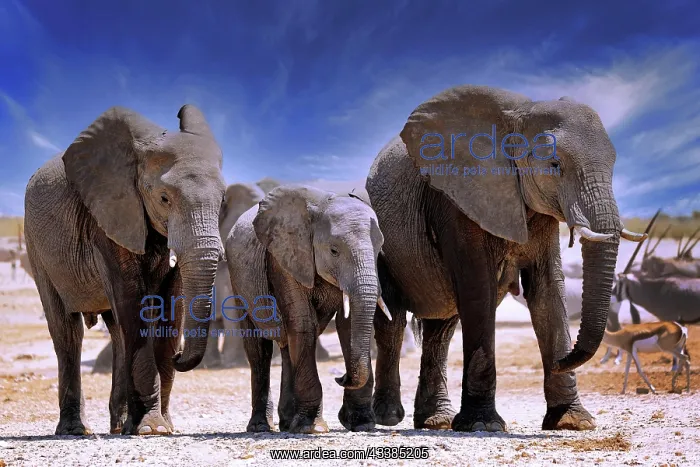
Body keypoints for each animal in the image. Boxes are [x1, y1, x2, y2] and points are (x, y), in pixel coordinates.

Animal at [24, 104, 226, 436]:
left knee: (117, 330)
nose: (181, 356)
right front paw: (152, 429)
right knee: (67, 330)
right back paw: (75, 430)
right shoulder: (109, 214)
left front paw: (163, 426)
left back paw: (119, 427)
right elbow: (133, 302)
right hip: (36, 248)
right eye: (164, 198)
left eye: (223, 202)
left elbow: (172, 304)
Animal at [224, 185, 389, 433]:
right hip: (238, 282)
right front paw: (311, 428)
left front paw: (362, 424)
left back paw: (286, 423)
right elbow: (303, 322)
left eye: (379, 249)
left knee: (287, 346)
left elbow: (348, 324)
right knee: (259, 349)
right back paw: (261, 427)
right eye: (333, 251)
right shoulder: (284, 259)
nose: (341, 377)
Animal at [365, 85, 647, 433]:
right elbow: (478, 289)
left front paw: (571, 422)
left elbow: (547, 290)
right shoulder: (457, 196)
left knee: (441, 331)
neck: (519, 113)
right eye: (554, 164)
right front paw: (481, 426)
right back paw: (389, 417)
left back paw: (436, 420)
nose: (561, 360)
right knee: (393, 322)